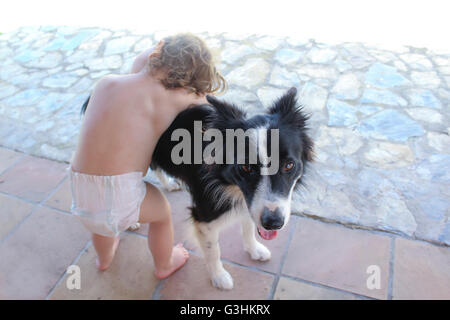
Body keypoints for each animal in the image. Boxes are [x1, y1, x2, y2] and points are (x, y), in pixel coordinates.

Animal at [151, 87, 312, 290]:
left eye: (289, 165)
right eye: (246, 167)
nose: (273, 223)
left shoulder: (251, 204)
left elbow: (249, 225)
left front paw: (254, 249)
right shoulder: (203, 214)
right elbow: (213, 249)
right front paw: (219, 276)